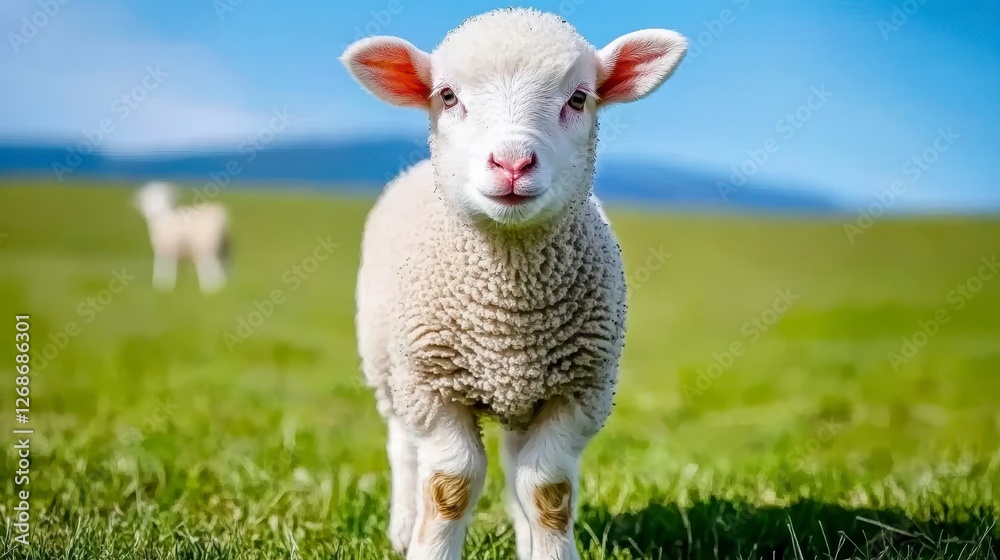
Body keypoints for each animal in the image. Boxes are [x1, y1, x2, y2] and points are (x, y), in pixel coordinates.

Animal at [341, 8, 686, 559]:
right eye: (447, 96)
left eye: (579, 98)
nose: (512, 163)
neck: (508, 314)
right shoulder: (433, 388)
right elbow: (451, 485)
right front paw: (430, 545)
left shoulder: (578, 393)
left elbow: (547, 489)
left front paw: (547, 548)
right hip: (389, 368)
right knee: (403, 447)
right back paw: (403, 525)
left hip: (522, 394)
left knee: (515, 462)